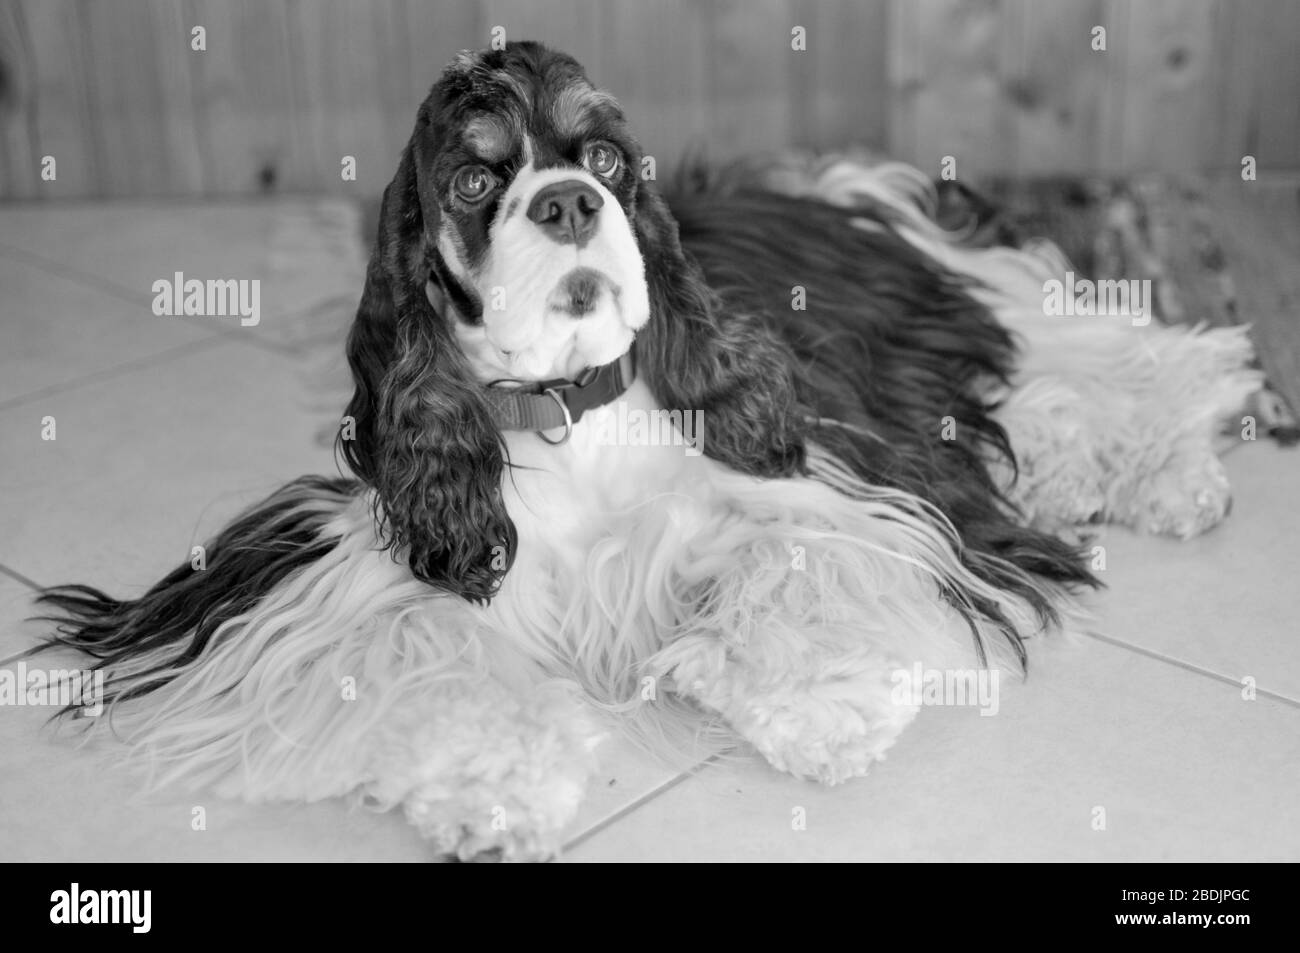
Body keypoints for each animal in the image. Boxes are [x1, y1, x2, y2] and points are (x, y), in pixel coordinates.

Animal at [35, 42, 1263, 863]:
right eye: (476, 178)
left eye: (607, 156)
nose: (572, 202)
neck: (564, 406)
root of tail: (815, 179)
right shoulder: (352, 570)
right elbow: (430, 649)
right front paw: (497, 787)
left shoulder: (816, 490)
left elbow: (791, 574)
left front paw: (823, 712)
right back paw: (1075, 474)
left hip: (966, 306)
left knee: (1125, 356)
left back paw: (1172, 473)